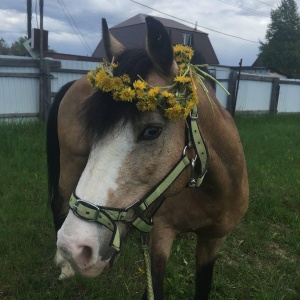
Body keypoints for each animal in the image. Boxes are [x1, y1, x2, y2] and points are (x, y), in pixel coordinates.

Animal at [47, 16, 248, 300]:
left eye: (152, 131)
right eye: (93, 131)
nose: (75, 248)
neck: (211, 191)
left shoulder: (213, 240)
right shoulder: (161, 237)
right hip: (71, 161)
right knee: (59, 202)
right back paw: (63, 266)